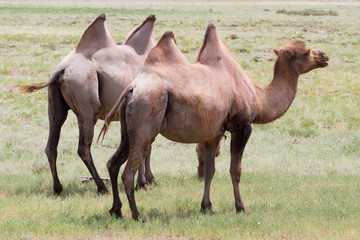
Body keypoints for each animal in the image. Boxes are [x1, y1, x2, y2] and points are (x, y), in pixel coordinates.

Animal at [18, 13, 156, 194]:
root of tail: (61, 69)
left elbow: (147, 146)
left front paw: (149, 179)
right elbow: (144, 146)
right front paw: (143, 183)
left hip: (55, 106)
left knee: (52, 143)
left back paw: (58, 188)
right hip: (87, 109)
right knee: (83, 148)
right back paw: (102, 187)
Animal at [99, 23, 330, 219]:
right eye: (306, 51)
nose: (325, 56)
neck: (259, 97)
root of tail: (132, 89)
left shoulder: (212, 133)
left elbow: (210, 170)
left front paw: (206, 206)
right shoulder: (241, 126)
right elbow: (235, 170)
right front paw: (240, 207)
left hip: (128, 129)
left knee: (113, 163)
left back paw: (116, 210)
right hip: (144, 122)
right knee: (128, 172)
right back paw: (136, 215)